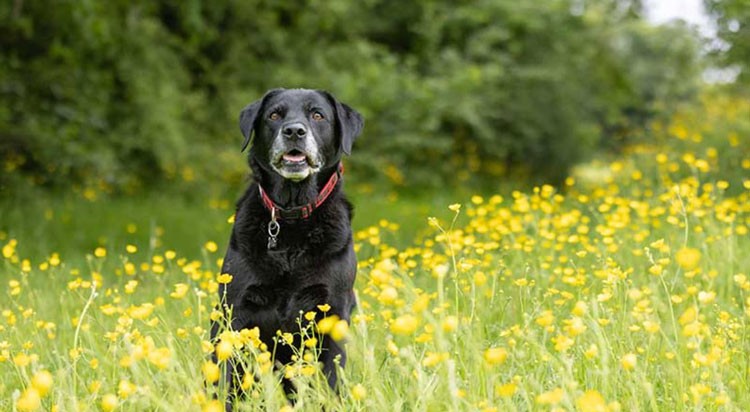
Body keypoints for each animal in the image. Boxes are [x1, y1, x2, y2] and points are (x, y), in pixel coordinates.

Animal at [212, 87, 364, 406]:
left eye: (318, 115)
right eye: (274, 115)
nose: (294, 131)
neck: (293, 219)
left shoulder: (333, 311)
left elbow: (332, 379)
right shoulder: (235, 311)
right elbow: (225, 378)